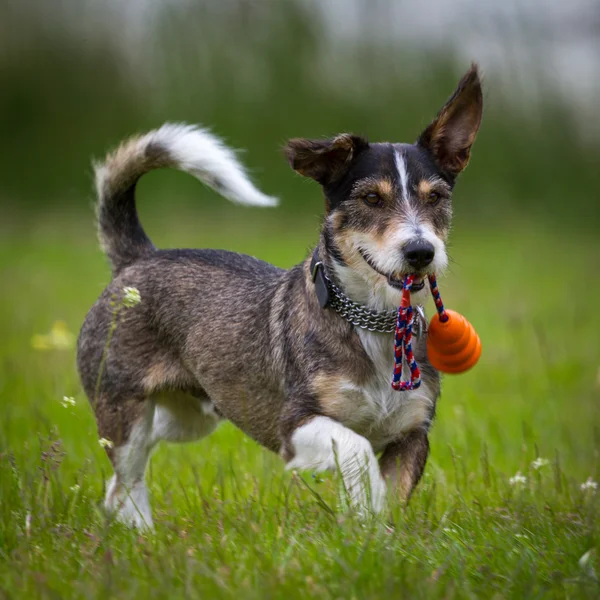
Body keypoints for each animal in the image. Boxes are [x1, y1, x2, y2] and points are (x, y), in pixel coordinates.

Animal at [78, 63, 482, 528]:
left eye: (436, 197)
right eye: (370, 198)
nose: (420, 251)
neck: (373, 324)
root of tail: (137, 258)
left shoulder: (413, 433)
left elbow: (393, 494)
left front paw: (375, 528)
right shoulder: (294, 426)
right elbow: (358, 450)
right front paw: (365, 512)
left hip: (194, 414)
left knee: (125, 473)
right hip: (124, 410)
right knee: (130, 475)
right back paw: (144, 532)